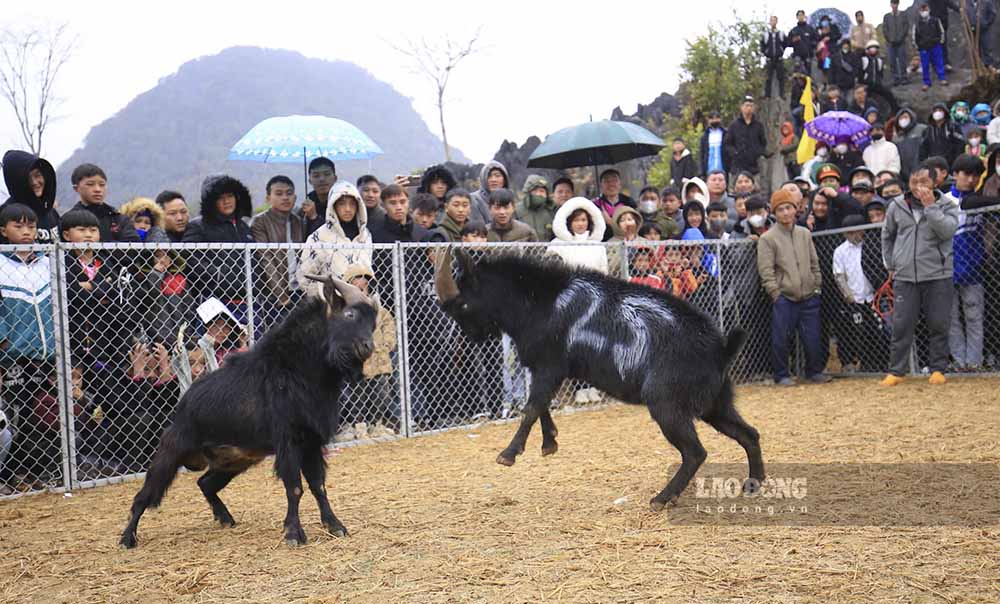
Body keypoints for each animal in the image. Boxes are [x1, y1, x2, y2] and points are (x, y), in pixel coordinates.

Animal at [117, 276, 380, 548]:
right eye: (349, 314)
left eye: (373, 321)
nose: (367, 347)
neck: (298, 371)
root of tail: (184, 401)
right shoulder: (288, 440)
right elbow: (295, 487)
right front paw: (293, 534)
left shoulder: (312, 441)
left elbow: (319, 486)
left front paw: (335, 526)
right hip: (171, 451)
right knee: (144, 495)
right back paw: (127, 538)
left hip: (234, 460)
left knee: (205, 483)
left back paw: (225, 518)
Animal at [434, 249, 760, 510]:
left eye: (463, 303)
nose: (470, 339)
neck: (542, 302)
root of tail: (721, 348)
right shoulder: (549, 369)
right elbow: (541, 405)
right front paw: (549, 442)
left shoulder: (550, 366)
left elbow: (532, 407)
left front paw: (509, 454)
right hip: (715, 405)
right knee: (749, 434)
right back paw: (754, 484)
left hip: (668, 406)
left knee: (695, 452)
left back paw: (662, 498)